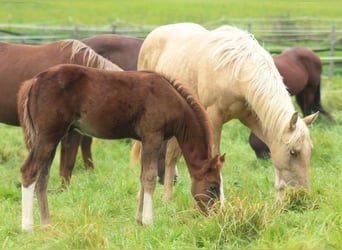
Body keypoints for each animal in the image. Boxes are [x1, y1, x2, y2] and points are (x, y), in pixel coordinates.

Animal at [17, 63, 226, 231]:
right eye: (213, 187)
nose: (217, 217)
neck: (171, 98)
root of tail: (34, 81)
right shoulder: (153, 136)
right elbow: (150, 177)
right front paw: (149, 222)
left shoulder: (145, 139)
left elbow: (142, 177)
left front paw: (139, 221)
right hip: (48, 136)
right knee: (29, 171)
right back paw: (28, 227)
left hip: (52, 138)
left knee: (42, 176)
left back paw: (47, 225)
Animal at [133, 22, 318, 202]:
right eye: (293, 152)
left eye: (310, 150)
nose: (304, 194)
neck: (236, 69)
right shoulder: (213, 119)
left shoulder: (251, 117)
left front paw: (278, 200)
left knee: (171, 156)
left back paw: (167, 198)